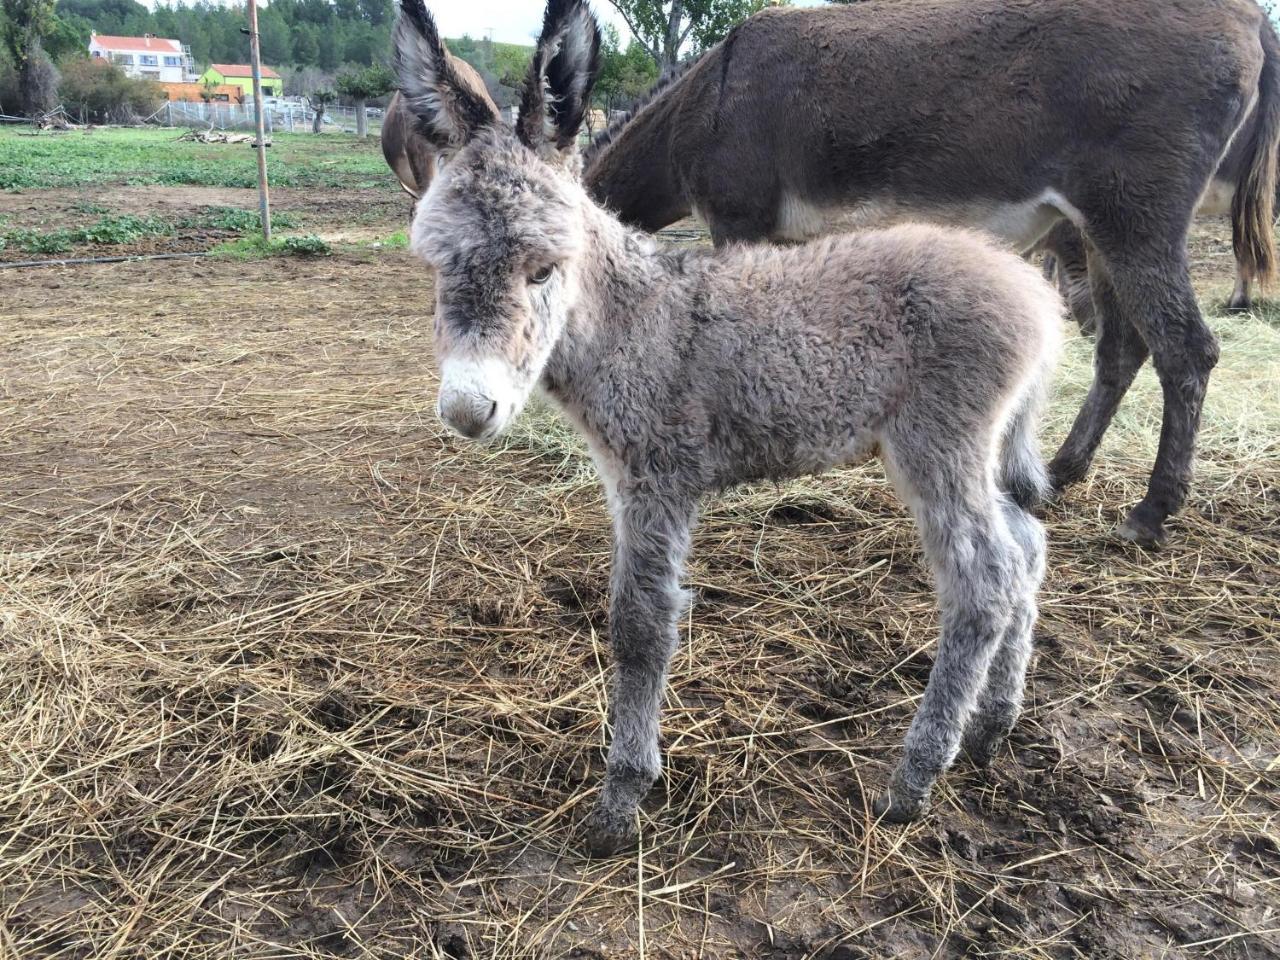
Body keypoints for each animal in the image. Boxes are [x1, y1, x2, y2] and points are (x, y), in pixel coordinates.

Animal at [394, 0, 1064, 855]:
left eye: (543, 269)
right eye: (437, 265)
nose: (467, 410)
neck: (632, 320)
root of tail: (1034, 294)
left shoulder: (655, 482)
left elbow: (640, 626)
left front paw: (622, 800)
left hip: (939, 444)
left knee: (985, 582)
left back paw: (915, 777)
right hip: (975, 447)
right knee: (1026, 546)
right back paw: (993, 727)